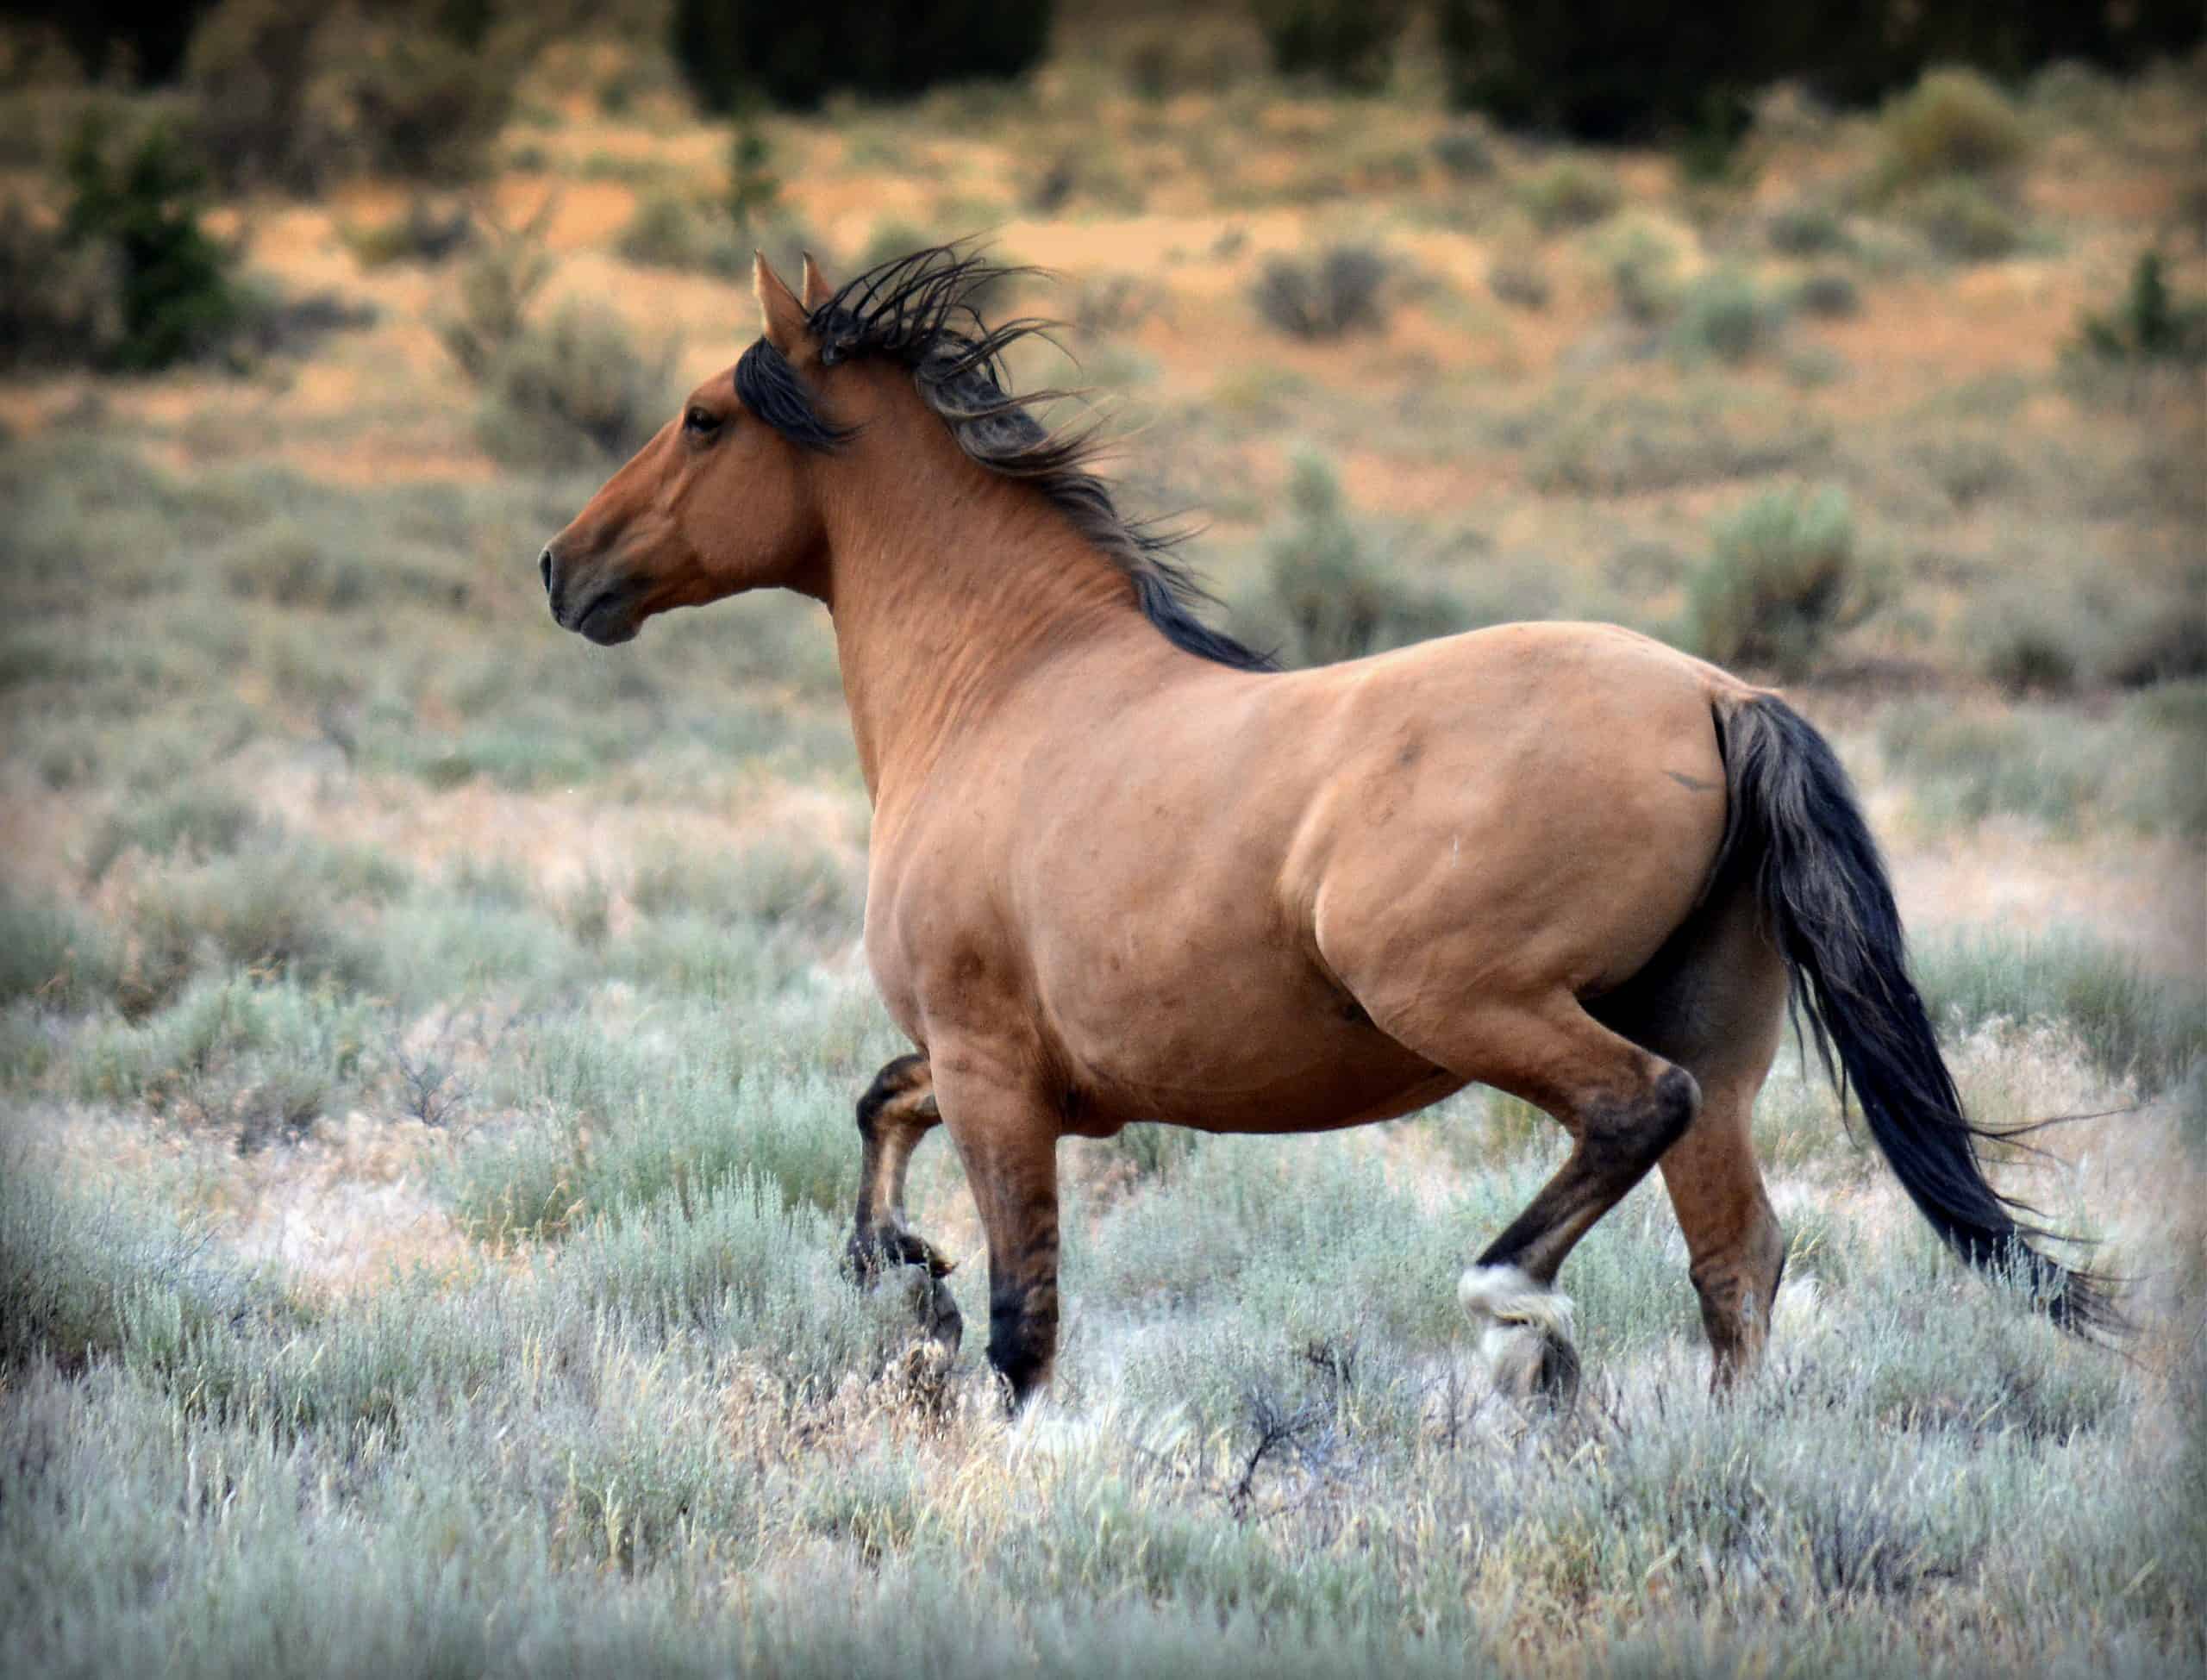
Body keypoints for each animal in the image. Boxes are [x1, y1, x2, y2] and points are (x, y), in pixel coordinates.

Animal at [542, 242, 2110, 1413]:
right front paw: (901, 1272)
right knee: (1738, 1264)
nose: (564, 568)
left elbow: (1022, 1325)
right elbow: (879, 1106)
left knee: (1634, 1111)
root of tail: (1721, 695)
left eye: (704, 414)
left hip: (1473, 1000)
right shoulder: (1023, 1072)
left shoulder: (995, 1073)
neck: (1006, 684)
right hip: (1718, 1047)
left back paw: (1518, 1320)